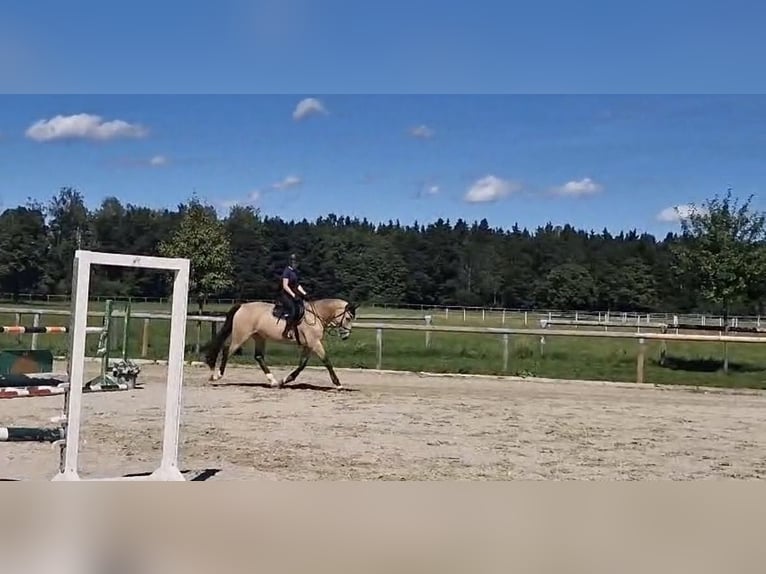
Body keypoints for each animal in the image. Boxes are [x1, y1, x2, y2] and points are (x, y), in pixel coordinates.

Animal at [203, 297, 357, 389]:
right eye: (348, 318)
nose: (346, 336)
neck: (315, 315)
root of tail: (243, 306)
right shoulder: (315, 343)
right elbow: (327, 361)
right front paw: (338, 384)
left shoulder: (308, 345)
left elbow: (301, 366)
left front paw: (285, 380)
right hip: (241, 336)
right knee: (227, 351)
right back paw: (216, 376)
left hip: (259, 337)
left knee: (258, 357)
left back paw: (273, 381)